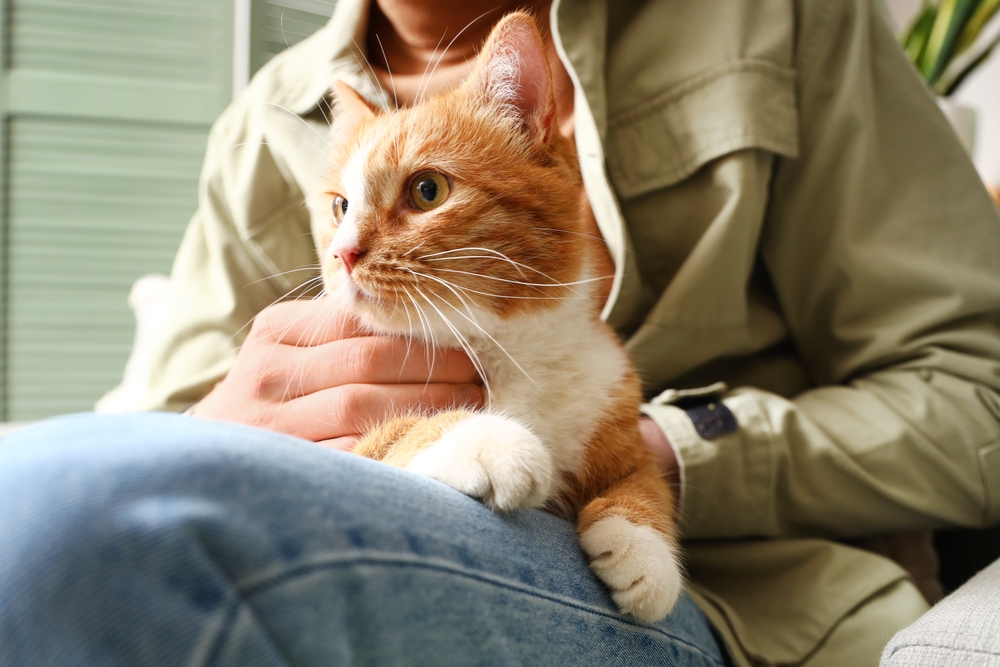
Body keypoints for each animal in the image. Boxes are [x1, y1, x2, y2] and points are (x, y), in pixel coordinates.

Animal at [316, 11, 684, 628]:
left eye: (427, 190)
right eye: (341, 207)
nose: (343, 253)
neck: (511, 347)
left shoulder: (615, 405)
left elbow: (646, 477)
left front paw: (643, 547)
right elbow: (393, 429)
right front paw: (486, 438)